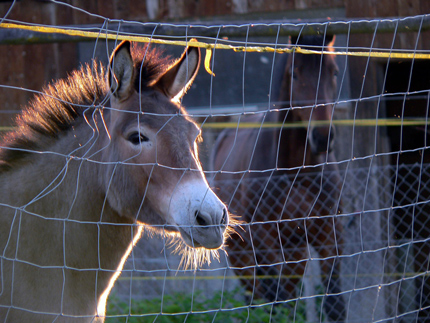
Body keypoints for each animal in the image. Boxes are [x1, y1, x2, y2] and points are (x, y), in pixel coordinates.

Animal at [212, 35, 346, 322]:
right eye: (294, 74)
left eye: (334, 72)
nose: (322, 137)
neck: (297, 171)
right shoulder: (266, 241)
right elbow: (277, 304)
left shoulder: (330, 236)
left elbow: (334, 304)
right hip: (242, 255)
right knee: (258, 301)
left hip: (295, 254)